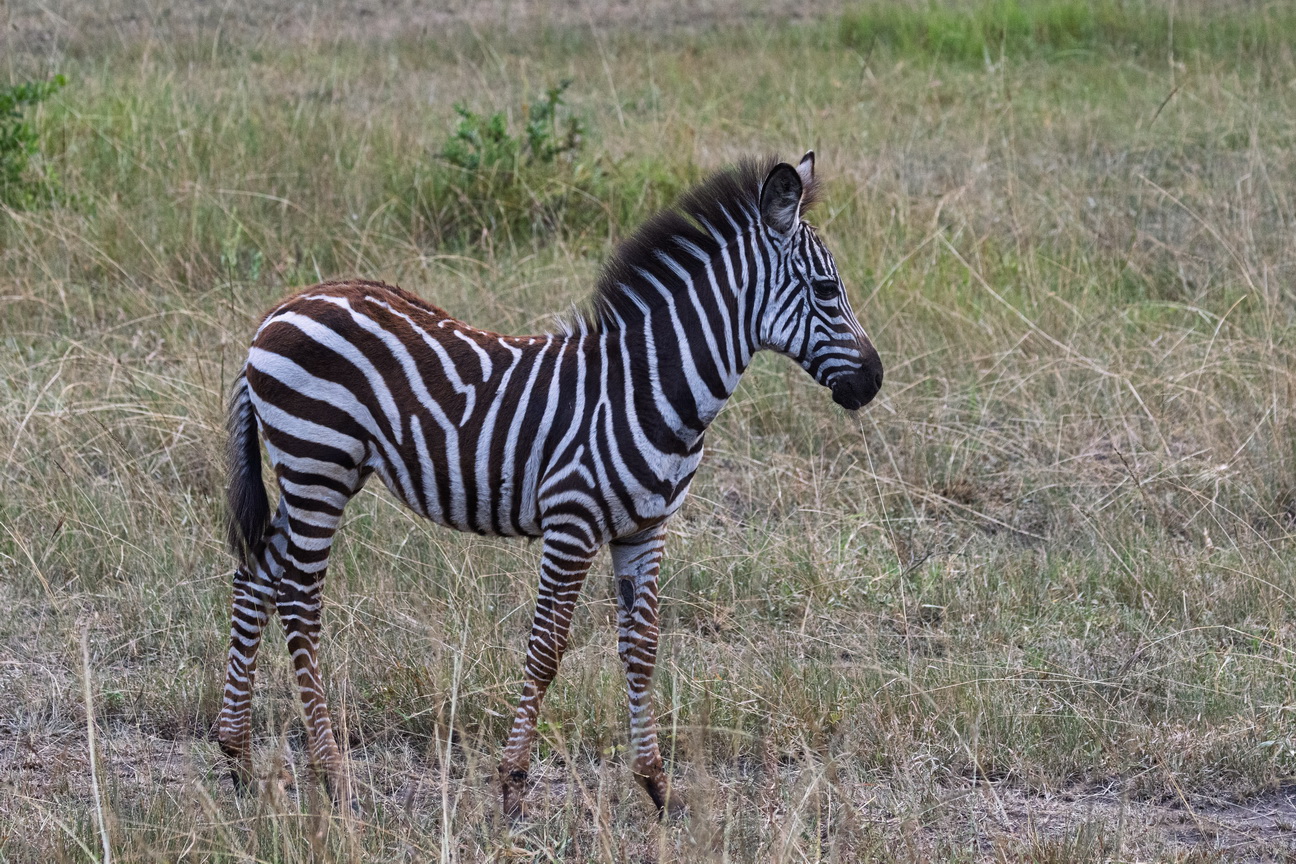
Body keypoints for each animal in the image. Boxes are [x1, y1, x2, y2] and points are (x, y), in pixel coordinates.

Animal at [217, 152, 883, 817]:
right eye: (827, 290)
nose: (874, 381)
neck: (650, 388)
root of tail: (280, 310)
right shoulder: (572, 521)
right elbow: (546, 650)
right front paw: (512, 785)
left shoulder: (645, 528)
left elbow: (641, 650)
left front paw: (657, 785)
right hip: (318, 464)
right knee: (298, 599)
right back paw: (333, 775)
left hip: (315, 472)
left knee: (256, 576)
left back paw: (238, 758)